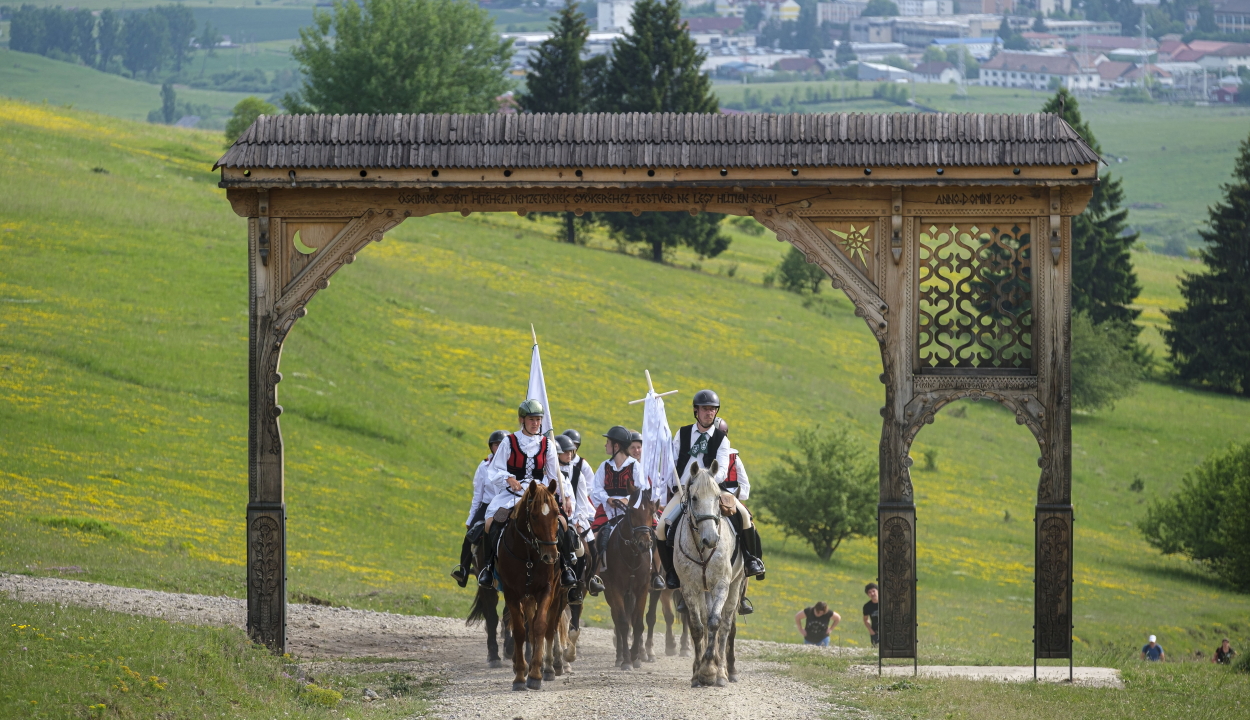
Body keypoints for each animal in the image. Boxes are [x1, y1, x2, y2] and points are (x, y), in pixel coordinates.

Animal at [495, 480, 565, 690]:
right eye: (534, 515)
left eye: (556, 513)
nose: (551, 556)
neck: (528, 556)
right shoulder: (512, 593)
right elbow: (520, 631)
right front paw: (520, 675)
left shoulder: (546, 590)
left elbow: (540, 626)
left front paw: (535, 674)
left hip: (555, 594)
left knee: (549, 628)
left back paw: (547, 667)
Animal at [600, 487, 660, 670]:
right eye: (632, 512)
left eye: (651, 511)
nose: (644, 544)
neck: (633, 555)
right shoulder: (615, 589)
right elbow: (623, 623)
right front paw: (627, 659)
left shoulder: (642, 589)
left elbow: (638, 622)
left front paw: (636, 656)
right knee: (618, 620)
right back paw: (620, 656)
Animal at [675, 460, 740, 685]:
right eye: (694, 498)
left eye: (718, 497)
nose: (711, 539)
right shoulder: (689, 587)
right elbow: (697, 626)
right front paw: (698, 672)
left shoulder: (722, 584)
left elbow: (715, 623)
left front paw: (711, 670)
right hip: (705, 591)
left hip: (735, 585)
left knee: (726, 626)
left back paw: (723, 672)